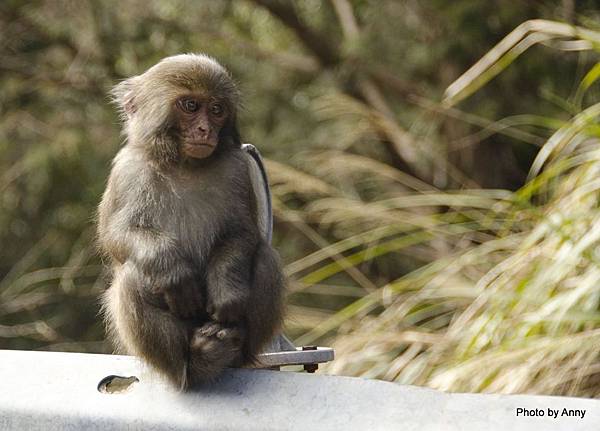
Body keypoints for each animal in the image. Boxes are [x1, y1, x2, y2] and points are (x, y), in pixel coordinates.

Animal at [97, 54, 284, 392]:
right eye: (190, 106)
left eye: (217, 109)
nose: (204, 129)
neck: (183, 165)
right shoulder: (128, 170)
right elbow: (115, 236)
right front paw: (173, 269)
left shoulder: (237, 169)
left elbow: (242, 231)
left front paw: (226, 289)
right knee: (132, 278)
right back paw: (196, 360)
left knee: (264, 256)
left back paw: (230, 340)